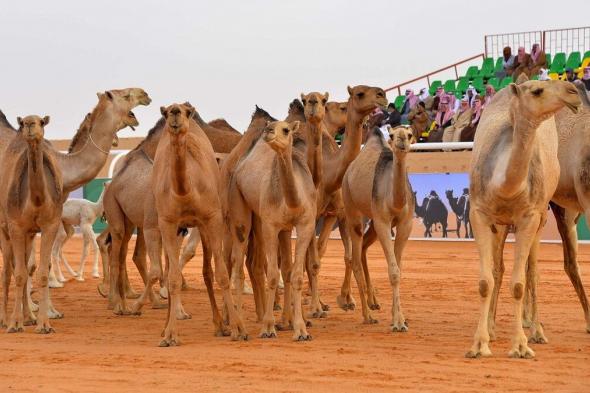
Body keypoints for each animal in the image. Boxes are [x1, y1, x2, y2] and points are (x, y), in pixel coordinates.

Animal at [0, 115, 63, 332]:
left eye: (41, 121)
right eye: (23, 122)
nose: (29, 125)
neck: (36, 200)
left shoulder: (50, 225)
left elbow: (40, 272)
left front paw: (43, 324)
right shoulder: (15, 227)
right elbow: (18, 274)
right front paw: (14, 324)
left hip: (29, 234)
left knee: (25, 268)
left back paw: (28, 318)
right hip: (4, 230)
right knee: (7, 272)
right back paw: (5, 320)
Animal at [151, 102, 246, 344]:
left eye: (187, 112)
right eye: (166, 112)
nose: (175, 112)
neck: (185, 192)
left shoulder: (212, 219)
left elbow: (222, 274)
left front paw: (238, 329)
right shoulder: (168, 223)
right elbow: (173, 278)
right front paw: (170, 335)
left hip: (203, 227)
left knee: (207, 271)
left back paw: (220, 325)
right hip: (176, 229)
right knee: (170, 269)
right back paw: (165, 328)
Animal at [229, 119, 320, 340]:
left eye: (286, 130)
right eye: (271, 126)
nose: (268, 131)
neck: (293, 202)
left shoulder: (305, 225)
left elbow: (296, 275)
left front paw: (301, 329)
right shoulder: (271, 225)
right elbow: (271, 275)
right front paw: (268, 327)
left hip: (277, 226)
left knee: (279, 267)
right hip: (239, 203)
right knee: (238, 265)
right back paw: (239, 330)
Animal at [342, 125, 416, 328]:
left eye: (410, 134)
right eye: (391, 134)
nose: (401, 140)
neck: (395, 201)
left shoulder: (406, 223)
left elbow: (398, 268)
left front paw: (398, 317)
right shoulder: (383, 221)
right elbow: (393, 271)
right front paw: (398, 323)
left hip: (372, 222)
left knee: (363, 250)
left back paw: (372, 302)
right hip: (352, 208)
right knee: (355, 258)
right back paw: (366, 315)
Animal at [468, 80, 584, 358]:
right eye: (537, 90)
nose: (573, 91)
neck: (504, 185)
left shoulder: (529, 218)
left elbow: (520, 283)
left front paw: (520, 345)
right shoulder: (479, 214)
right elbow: (485, 281)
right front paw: (480, 343)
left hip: (541, 217)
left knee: (532, 273)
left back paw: (537, 331)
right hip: (500, 225)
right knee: (499, 270)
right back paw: (494, 326)